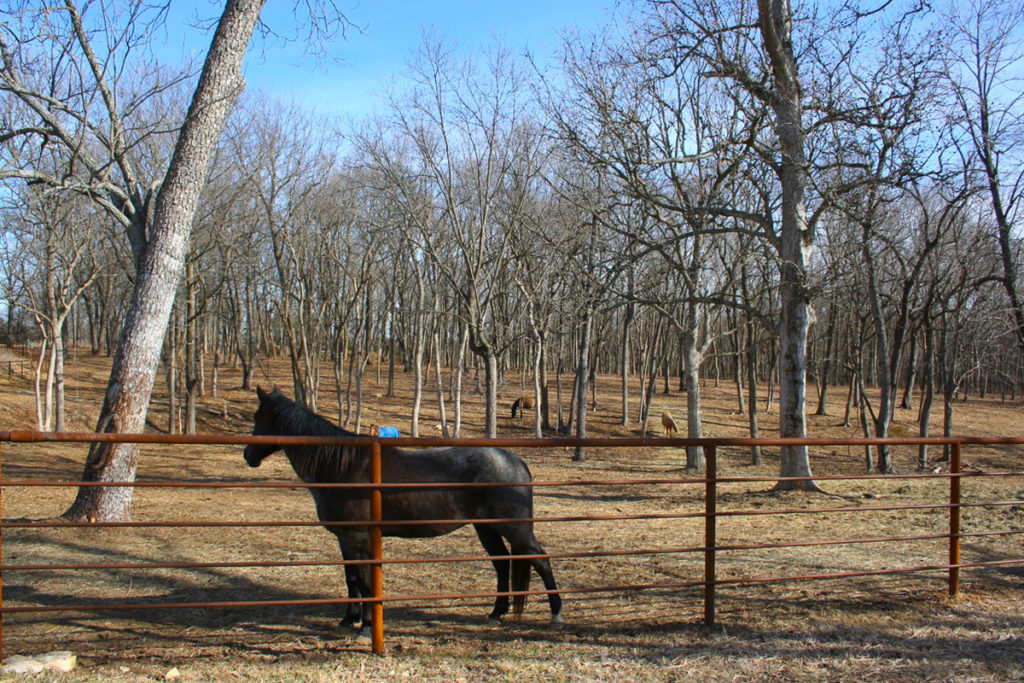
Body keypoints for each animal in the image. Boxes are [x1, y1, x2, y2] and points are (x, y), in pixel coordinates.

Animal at [243, 387, 565, 638]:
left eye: (259, 418)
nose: (248, 456)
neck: (342, 467)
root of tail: (516, 461)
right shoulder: (345, 539)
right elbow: (351, 579)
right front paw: (348, 621)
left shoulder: (356, 537)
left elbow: (363, 581)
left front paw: (364, 628)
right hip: (486, 527)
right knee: (502, 564)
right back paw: (496, 614)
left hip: (515, 528)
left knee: (541, 560)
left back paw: (556, 614)